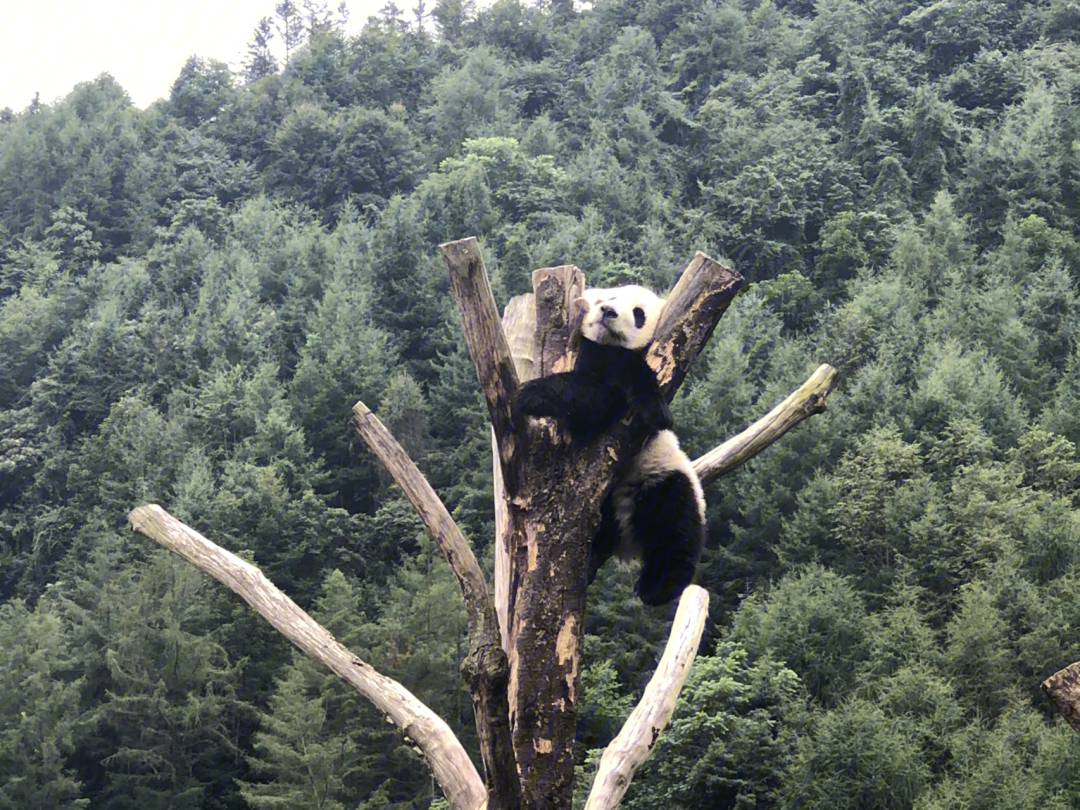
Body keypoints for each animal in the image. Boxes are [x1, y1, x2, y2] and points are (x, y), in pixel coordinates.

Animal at [514, 285, 708, 609]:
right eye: (611, 297)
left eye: (639, 313)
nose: (608, 312)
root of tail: (628, 539)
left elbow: (602, 395)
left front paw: (531, 394)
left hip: (660, 473)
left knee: (675, 522)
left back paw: (659, 588)